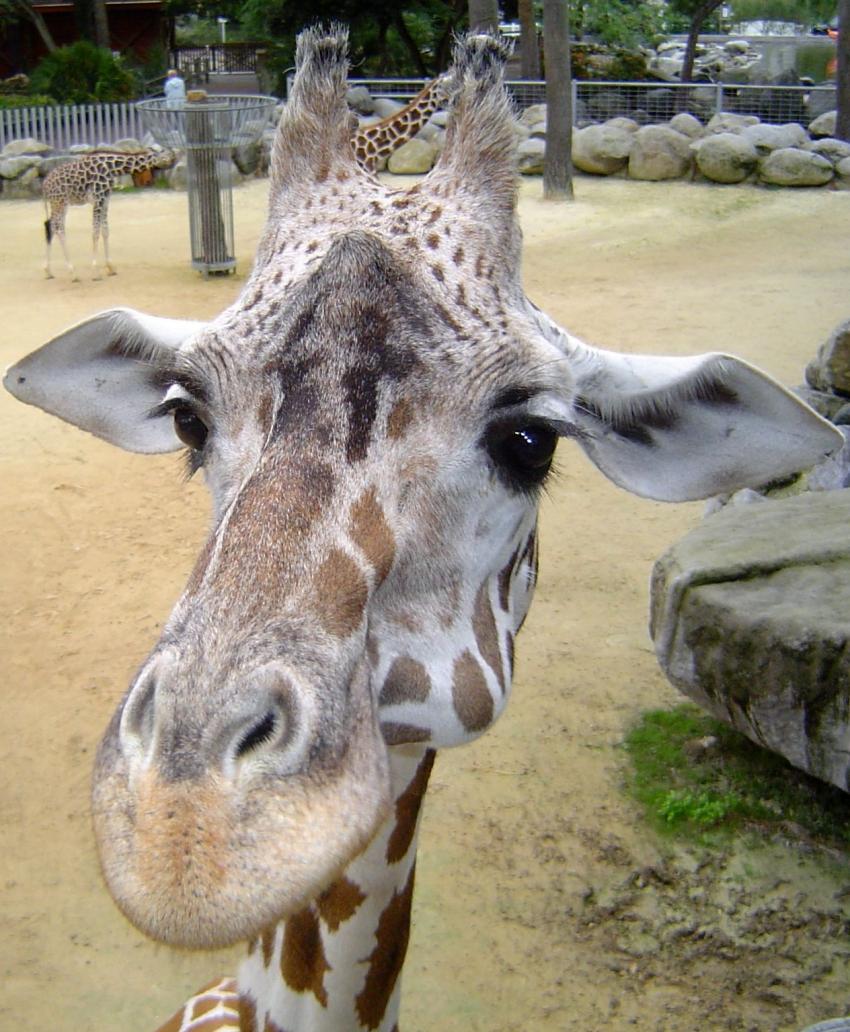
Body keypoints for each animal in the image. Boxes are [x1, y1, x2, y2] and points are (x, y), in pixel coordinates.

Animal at [42, 147, 175, 282]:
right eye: (166, 155)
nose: (173, 163)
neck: (113, 168)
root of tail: (45, 185)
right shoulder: (98, 199)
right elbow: (95, 233)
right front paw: (95, 272)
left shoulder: (105, 200)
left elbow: (105, 231)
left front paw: (110, 267)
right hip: (59, 202)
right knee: (59, 229)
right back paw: (73, 273)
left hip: (59, 203)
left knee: (50, 226)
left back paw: (48, 271)